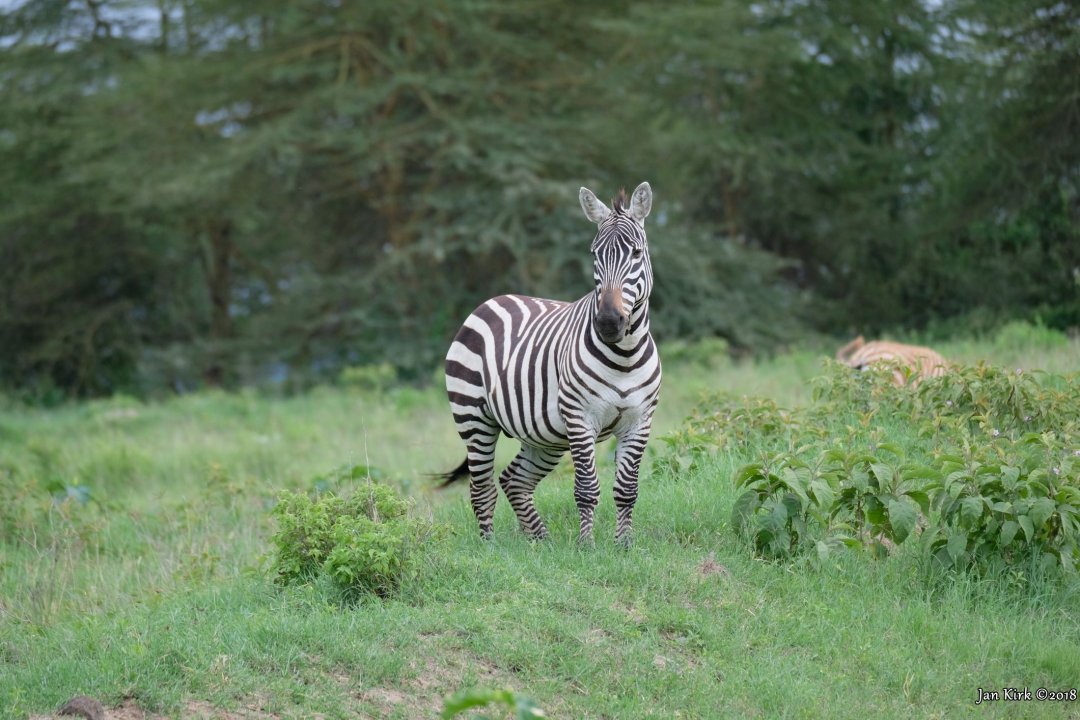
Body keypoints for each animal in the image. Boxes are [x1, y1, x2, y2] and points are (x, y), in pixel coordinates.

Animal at [436, 181, 656, 546]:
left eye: (637, 253)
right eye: (594, 255)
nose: (609, 323)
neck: (624, 355)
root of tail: (491, 301)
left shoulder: (639, 422)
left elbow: (627, 490)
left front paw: (624, 546)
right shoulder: (581, 419)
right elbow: (586, 489)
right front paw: (586, 546)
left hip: (545, 434)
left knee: (513, 480)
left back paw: (541, 543)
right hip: (474, 417)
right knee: (482, 490)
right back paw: (489, 548)